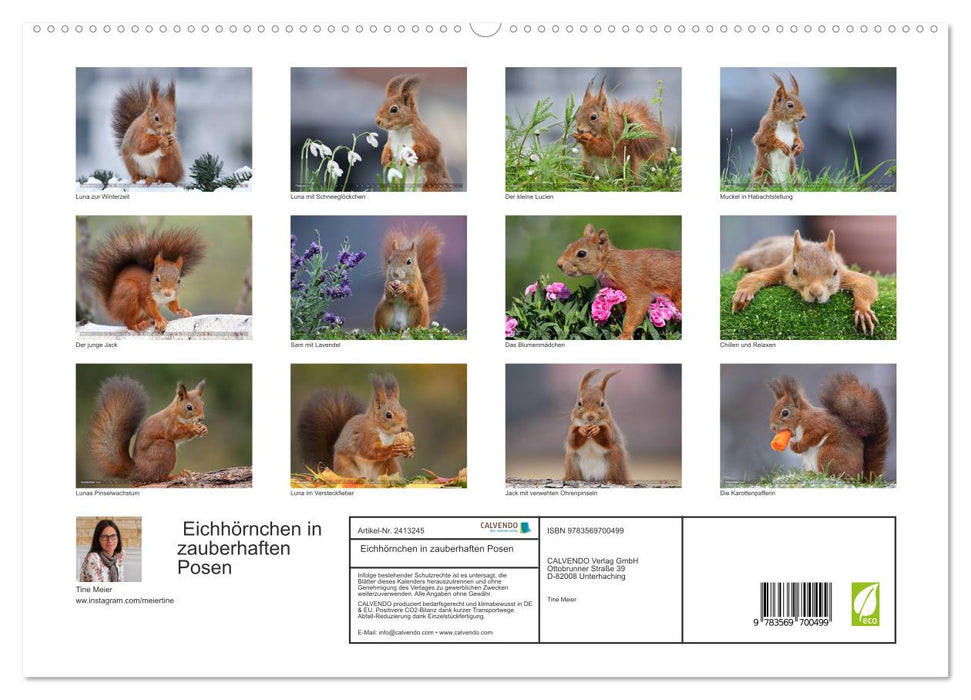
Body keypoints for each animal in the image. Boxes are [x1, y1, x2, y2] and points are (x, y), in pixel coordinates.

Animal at [730, 229, 879, 334]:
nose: (816, 294)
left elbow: (866, 282)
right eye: (795, 271)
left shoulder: (844, 274)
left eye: (835, 272)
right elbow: (754, 276)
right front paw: (743, 294)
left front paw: (863, 311)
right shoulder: (784, 269)